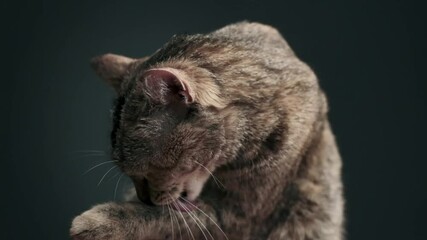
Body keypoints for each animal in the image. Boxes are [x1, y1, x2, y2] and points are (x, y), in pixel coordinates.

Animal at [70, 21, 344, 239]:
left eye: (151, 170)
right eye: (129, 175)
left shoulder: (235, 216)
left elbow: (163, 218)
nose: (143, 198)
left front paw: (95, 222)